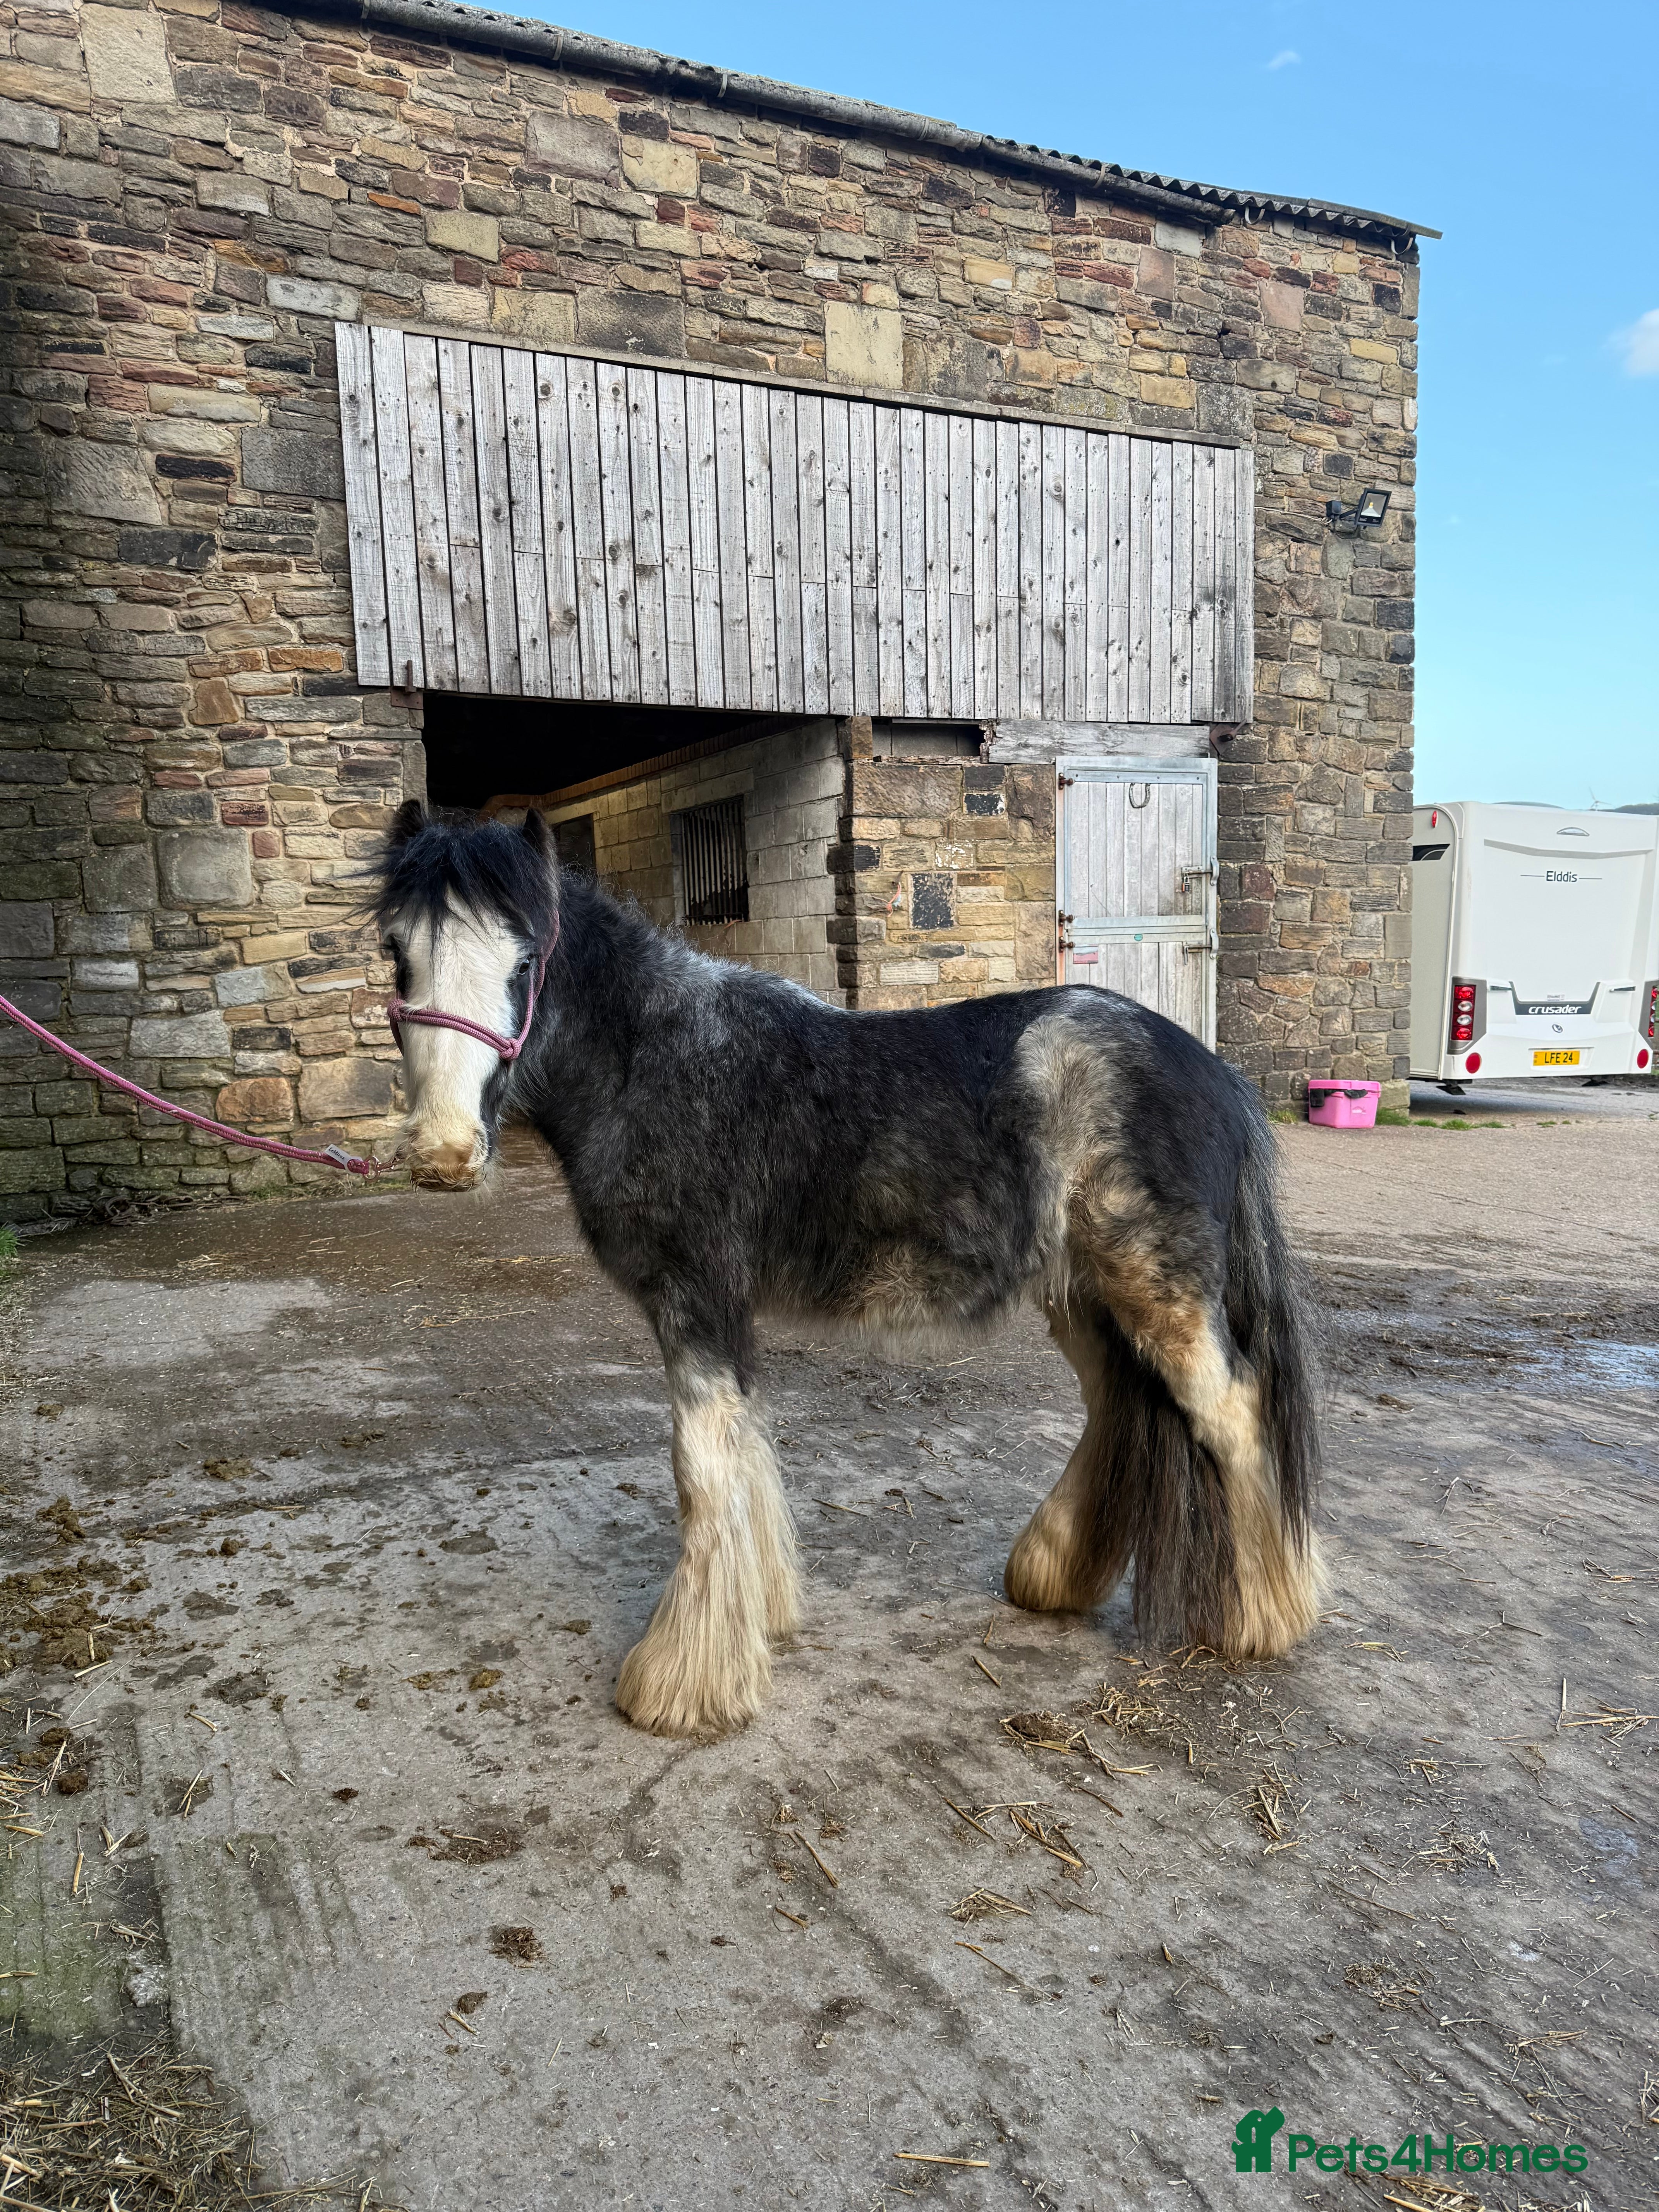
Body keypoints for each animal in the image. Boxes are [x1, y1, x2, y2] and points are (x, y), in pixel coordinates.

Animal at [372, 801, 1322, 1739]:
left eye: (525, 960)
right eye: (396, 951)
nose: (443, 1155)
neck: (659, 1061)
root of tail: (1217, 1076)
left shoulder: (695, 1302)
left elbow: (700, 1470)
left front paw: (683, 1684)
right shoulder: (722, 1314)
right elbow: (743, 1452)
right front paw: (760, 1620)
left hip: (1161, 1295)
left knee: (1235, 1415)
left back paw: (1263, 1617)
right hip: (1083, 1297)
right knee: (1116, 1404)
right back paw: (1055, 1575)